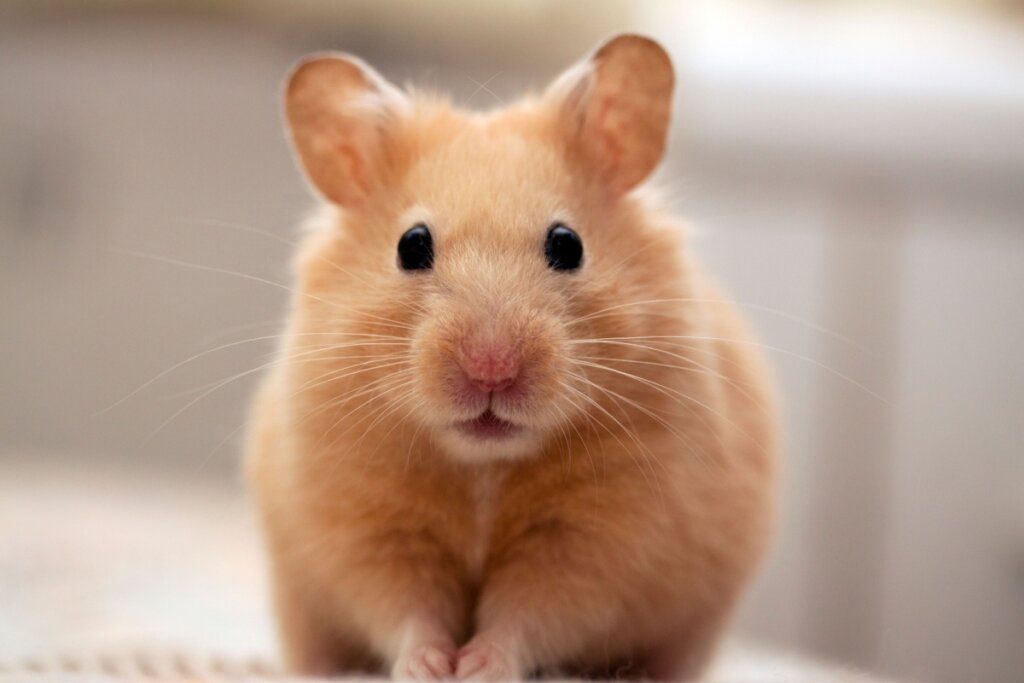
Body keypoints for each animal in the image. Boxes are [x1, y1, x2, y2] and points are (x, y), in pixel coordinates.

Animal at [245, 33, 774, 683]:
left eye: (567, 244)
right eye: (411, 245)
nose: (490, 369)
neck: (483, 465)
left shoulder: (600, 539)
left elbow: (531, 611)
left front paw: (477, 666)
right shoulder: (366, 528)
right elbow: (404, 605)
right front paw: (430, 667)